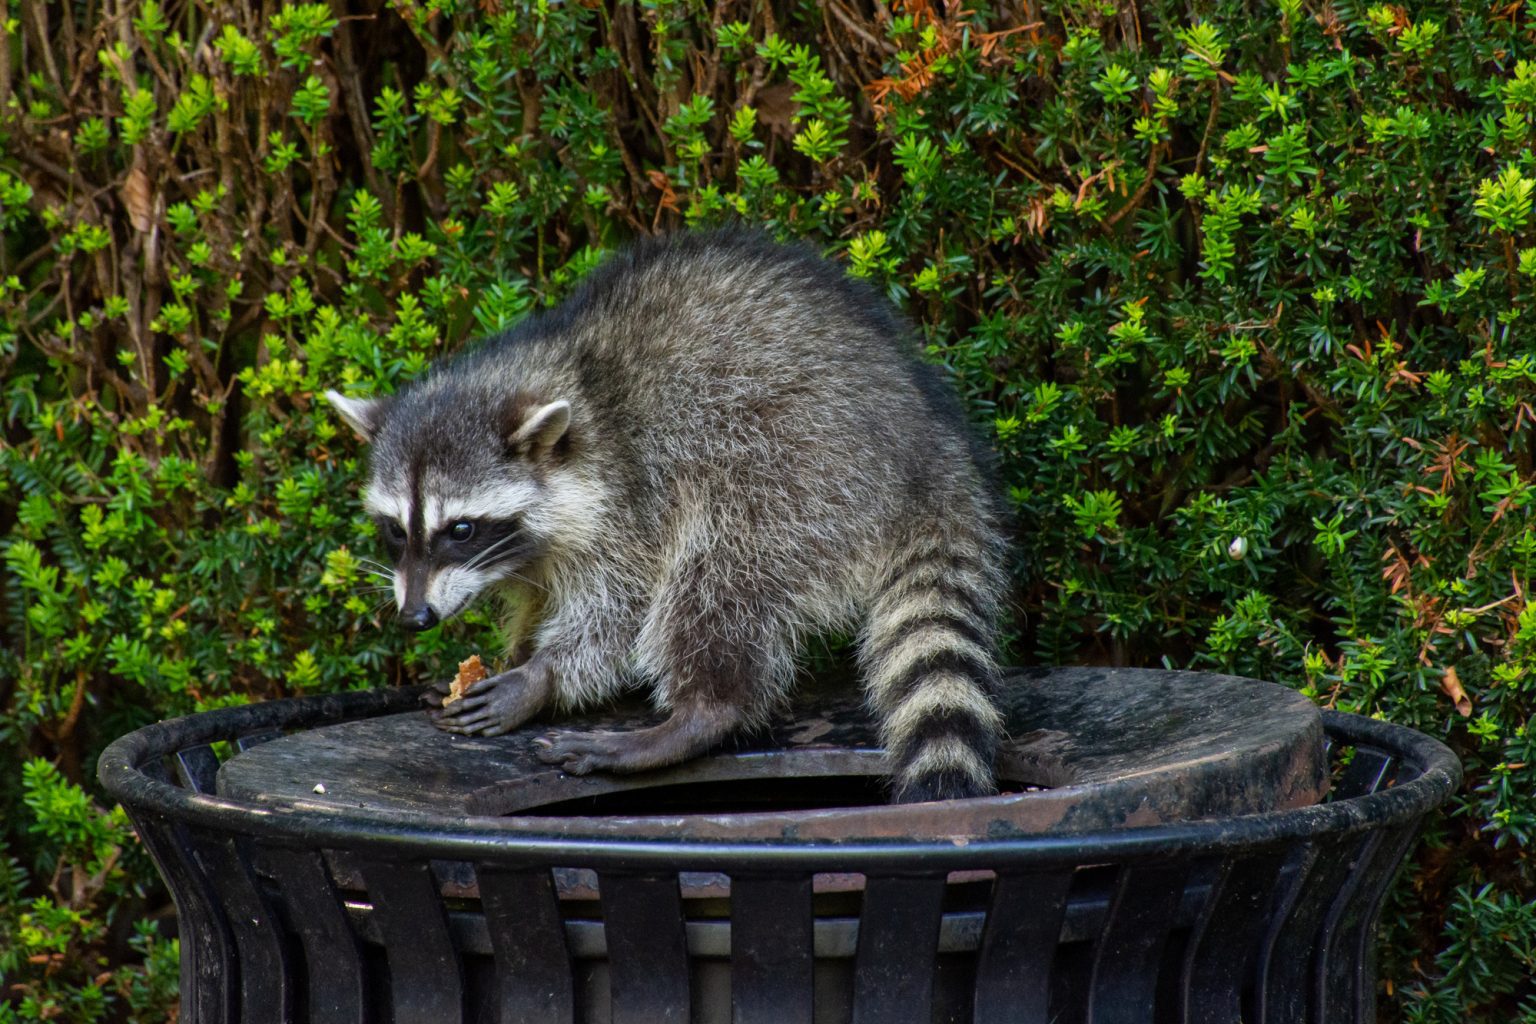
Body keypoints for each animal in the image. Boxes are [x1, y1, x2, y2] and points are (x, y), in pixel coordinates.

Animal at [327, 230, 1007, 798]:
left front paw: (541, 676)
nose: (414, 617)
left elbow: (620, 608)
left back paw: (699, 713)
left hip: (800, 469)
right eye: (395, 531)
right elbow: (537, 599)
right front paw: (514, 653)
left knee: (719, 572)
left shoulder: (631, 495)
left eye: (461, 530)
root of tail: (930, 447)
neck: (570, 375)